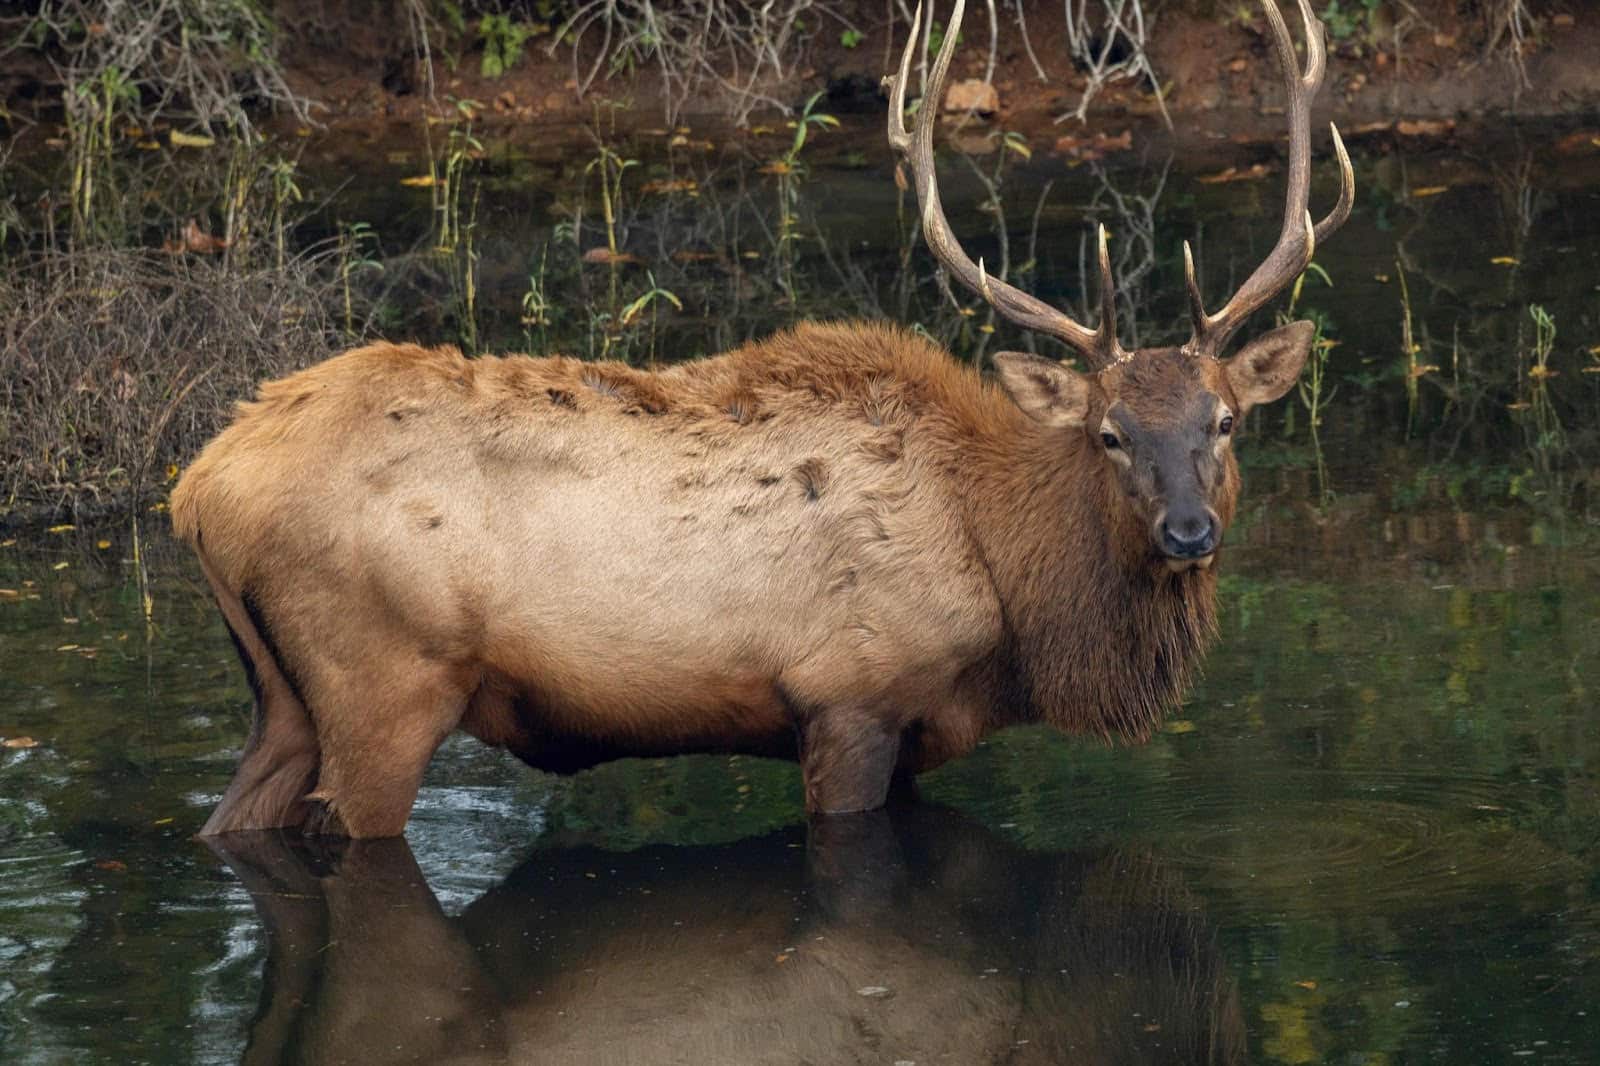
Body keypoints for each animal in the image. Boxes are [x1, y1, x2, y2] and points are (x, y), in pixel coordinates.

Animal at [172, 0, 1350, 832]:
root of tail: (198, 488)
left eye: (1223, 422)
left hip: (284, 701)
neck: (1008, 590)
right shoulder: (851, 696)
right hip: (384, 682)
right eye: (1110, 435)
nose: (1188, 532)